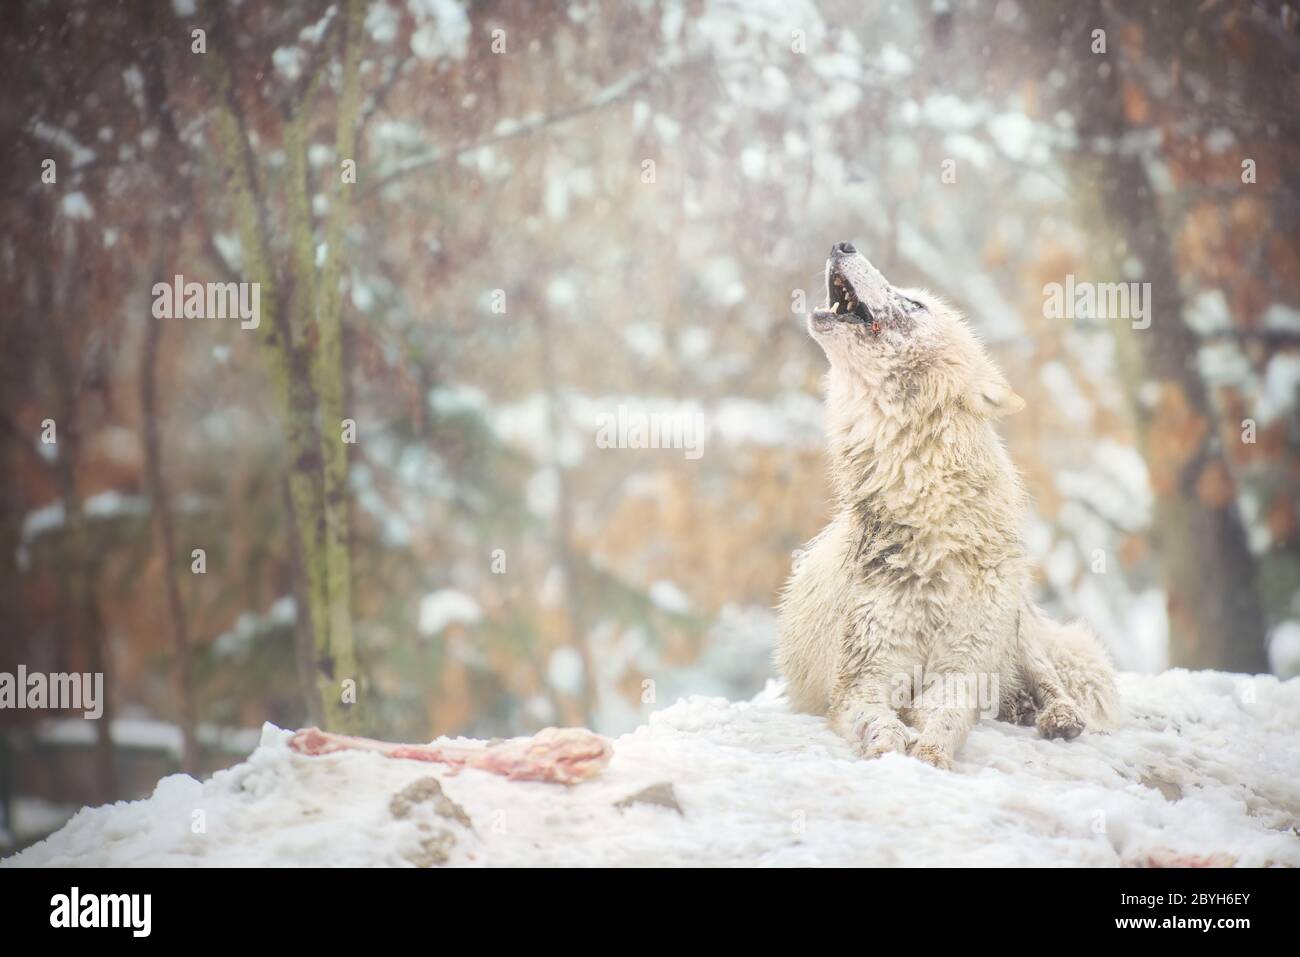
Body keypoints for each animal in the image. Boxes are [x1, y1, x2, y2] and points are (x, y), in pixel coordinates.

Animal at [776, 242, 1120, 770]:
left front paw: (932, 754)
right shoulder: (864, 676)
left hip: (1014, 627)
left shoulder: (965, 664)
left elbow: (949, 716)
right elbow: (875, 719)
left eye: (915, 303)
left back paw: (1056, 715)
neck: (929, 518)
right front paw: (890, 746)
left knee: (1047, 676)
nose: (842, 245)